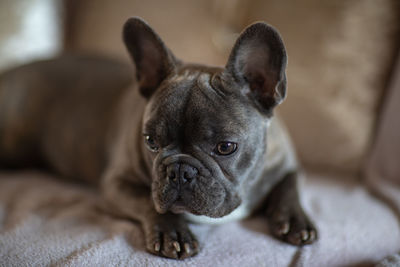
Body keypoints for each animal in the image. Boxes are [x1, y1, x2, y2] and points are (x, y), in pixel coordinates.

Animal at [0, 17, 318, 260]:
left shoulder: (287, 162)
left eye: (226, 147)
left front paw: (295, 220)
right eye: (150, 141)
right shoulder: (117, 183)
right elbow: (146, 201)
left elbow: (290, 185)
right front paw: (171, 232)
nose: (180, 170)